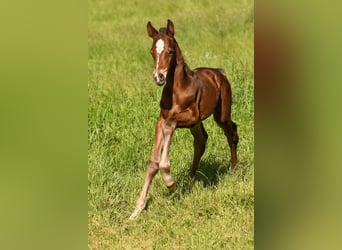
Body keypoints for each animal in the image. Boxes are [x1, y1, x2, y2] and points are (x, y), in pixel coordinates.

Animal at [130, 19, 239, 219]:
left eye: (170, 51)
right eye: (152, 51)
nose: (159, 77)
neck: (177, 90)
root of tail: (219, 73)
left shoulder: (188, 117)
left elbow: (169, 129)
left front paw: (170, 182)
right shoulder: (162, 119)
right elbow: (152, 163)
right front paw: (137, 210)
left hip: (220, 115)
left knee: (232, 132)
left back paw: (233, 169)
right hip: (196, 124)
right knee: (201, 141)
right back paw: (190, 179)